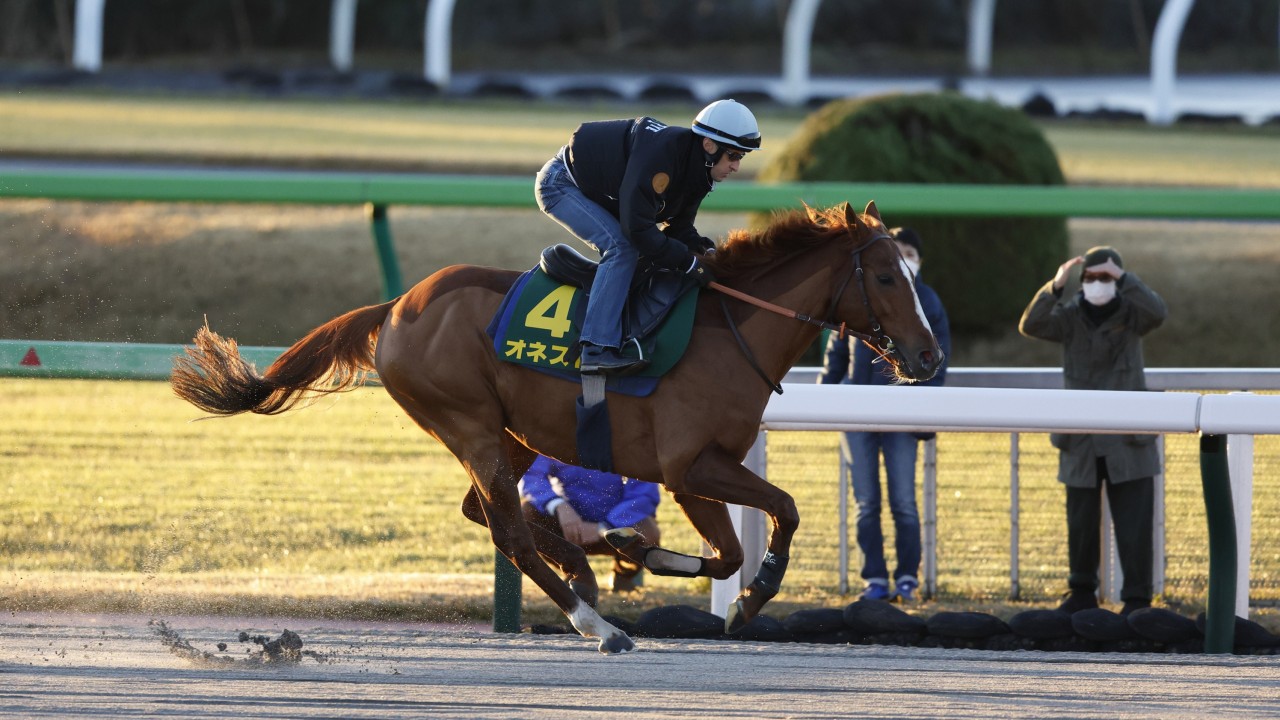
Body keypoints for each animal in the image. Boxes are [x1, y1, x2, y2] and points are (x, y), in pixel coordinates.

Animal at [171, 200, 942, 654]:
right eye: (884, 276)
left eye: (914, 274)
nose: (930, 356)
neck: (731, 331)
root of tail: (395, 306)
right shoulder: (690, 466)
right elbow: (781, 510)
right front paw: (748, 596)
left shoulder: (702, 470)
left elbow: (728, 552)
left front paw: (641, 552)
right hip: (471, 424)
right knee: (507, 529)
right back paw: (595, 622)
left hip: (507, 436)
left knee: (484, 512)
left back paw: (583, 571)